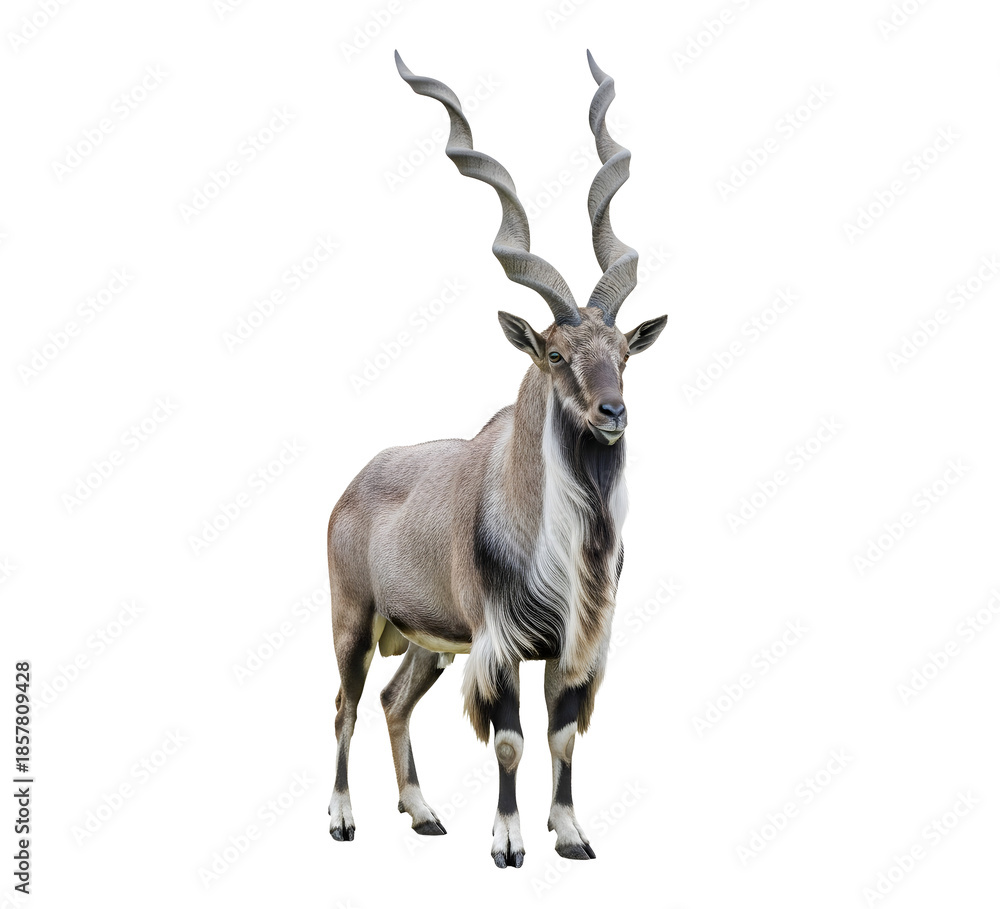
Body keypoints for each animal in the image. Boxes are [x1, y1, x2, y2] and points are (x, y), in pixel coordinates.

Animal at [327, 50, 668, 869]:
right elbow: (511, 740)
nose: (613, 414)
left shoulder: (573, 649)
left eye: (623, 353)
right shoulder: (502, 643)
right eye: (555, 353)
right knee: (345, 704)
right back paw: (343, 819)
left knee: (391, 700)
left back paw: (422, 813)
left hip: (427, 643)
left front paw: (570, 834)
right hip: (353, 620)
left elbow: (563, 735)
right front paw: (509, 843)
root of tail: (349, 490)